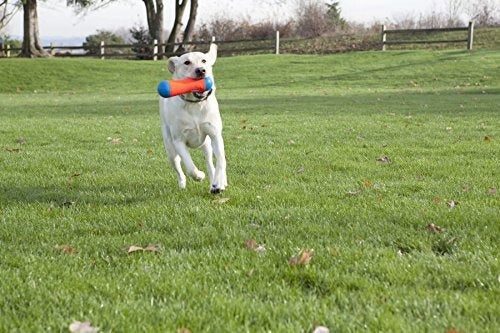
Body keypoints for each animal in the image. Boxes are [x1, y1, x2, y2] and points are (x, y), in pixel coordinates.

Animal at [159, 44, 228, 195]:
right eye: (187, 62)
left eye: (204, 61)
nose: (201, 70)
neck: (195, 104)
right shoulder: (178, 141)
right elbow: (189, 166)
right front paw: (199, 175)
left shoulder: (214, 135)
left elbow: (221, 160)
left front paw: (219, 183)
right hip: (169, 148)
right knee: (178, 167)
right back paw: (182, 183)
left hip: (206, 144)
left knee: (209, 162)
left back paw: (214, 183)